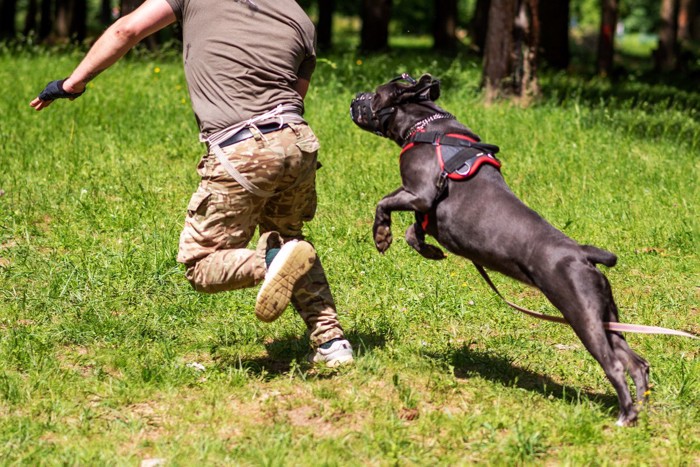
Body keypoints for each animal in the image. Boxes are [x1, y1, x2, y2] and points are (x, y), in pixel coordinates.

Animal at [350, 74, 652, 428]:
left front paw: (382, 235)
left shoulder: (420, 193)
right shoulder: (423, 206)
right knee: (637, 363)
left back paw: (624, 415)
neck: (425, 124)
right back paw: (640, 410)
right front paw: (430, 251)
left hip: (583, 316)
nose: (355, 97)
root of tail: (582, 254)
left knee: (615, 365)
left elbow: (384, 202)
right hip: (608, 319)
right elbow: (414, 231)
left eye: (375, 95)